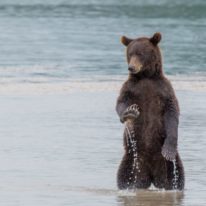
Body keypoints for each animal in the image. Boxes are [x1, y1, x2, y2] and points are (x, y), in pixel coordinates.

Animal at [116, 32, 185, 192]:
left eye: (140, 54)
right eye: (130, 53)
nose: (131, 67)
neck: (146, 76)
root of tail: (152, 177)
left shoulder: (164, 90)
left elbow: (172, 113)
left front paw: (168, 150)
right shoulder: (131, 88)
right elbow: (121, 102)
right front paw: (130, 112)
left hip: (169, 166)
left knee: (177, 177)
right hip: (132, 161)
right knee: (124, 177)